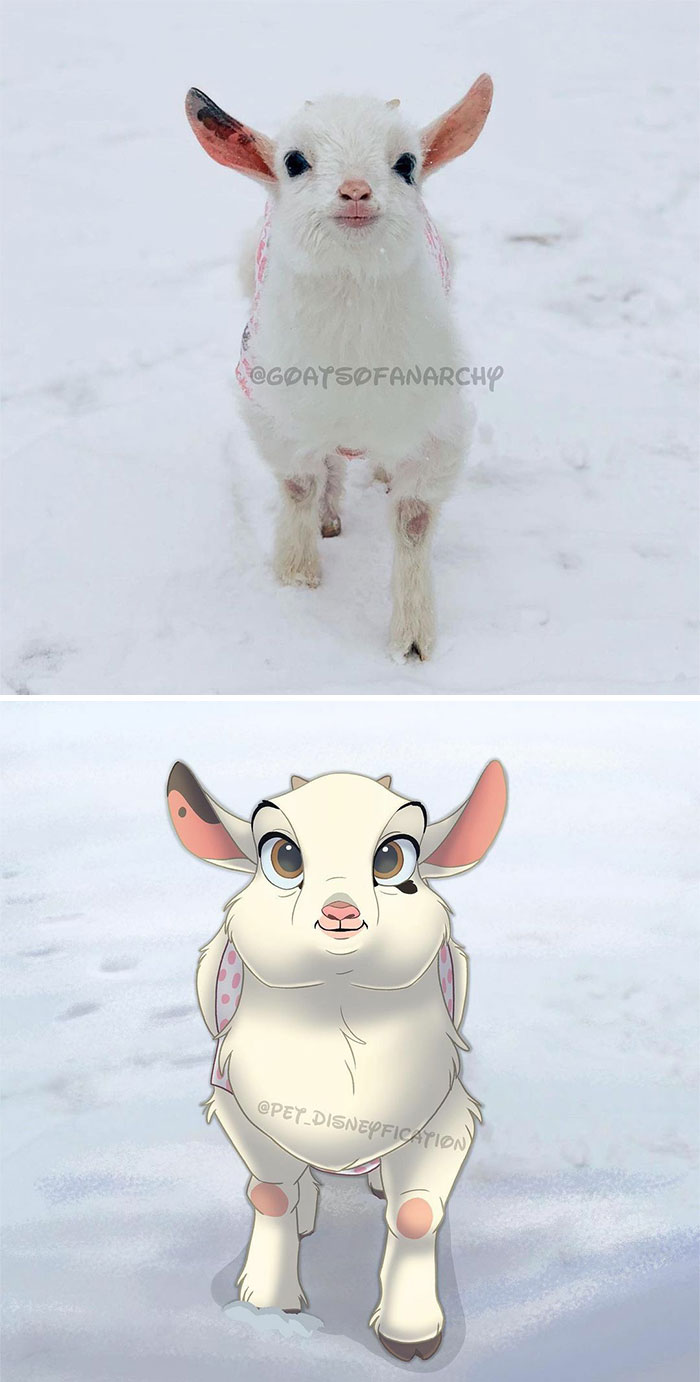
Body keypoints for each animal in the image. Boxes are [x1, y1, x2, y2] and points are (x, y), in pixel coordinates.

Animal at [167, 760, 507, 1360]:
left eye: (392, 859)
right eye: (284, 857)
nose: (339, 914)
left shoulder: (448, 1114)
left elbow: (416, 1215)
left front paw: (411, 1331)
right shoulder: (238, 1108)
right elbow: (269, 1195)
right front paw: (266, 1300)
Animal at [185, 77, 493, 660]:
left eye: (406, 163)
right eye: (294, 161)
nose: (355, 191)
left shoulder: (439, 430)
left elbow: (414, 521)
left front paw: (412, 640)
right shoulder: (273, 412)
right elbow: (298, 485)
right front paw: (297, 573)